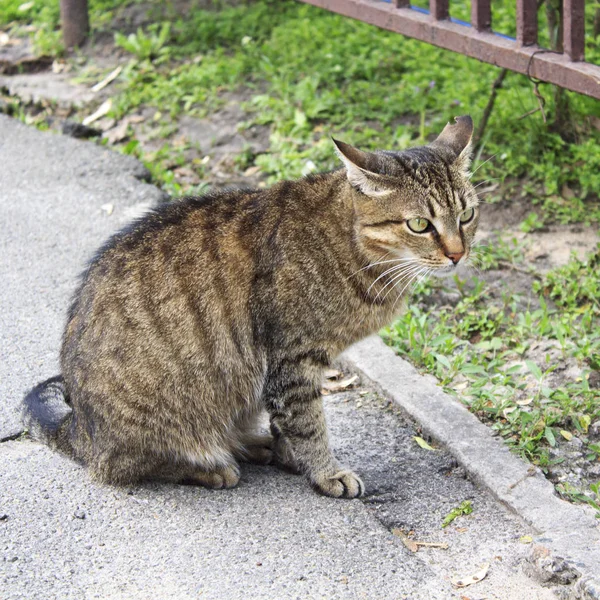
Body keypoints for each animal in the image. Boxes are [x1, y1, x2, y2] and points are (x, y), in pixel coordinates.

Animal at [23, 115, 480, 500]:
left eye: (467, 216)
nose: (458, 254)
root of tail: (78, 428)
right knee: (123, 466)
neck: (354, 249)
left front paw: (287, 455)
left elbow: (287, 423)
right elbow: (308, 424)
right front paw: (324, 471)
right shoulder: (292, 358)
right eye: (419, 224)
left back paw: (250, 444)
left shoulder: (288, 368)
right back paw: (212, 466)